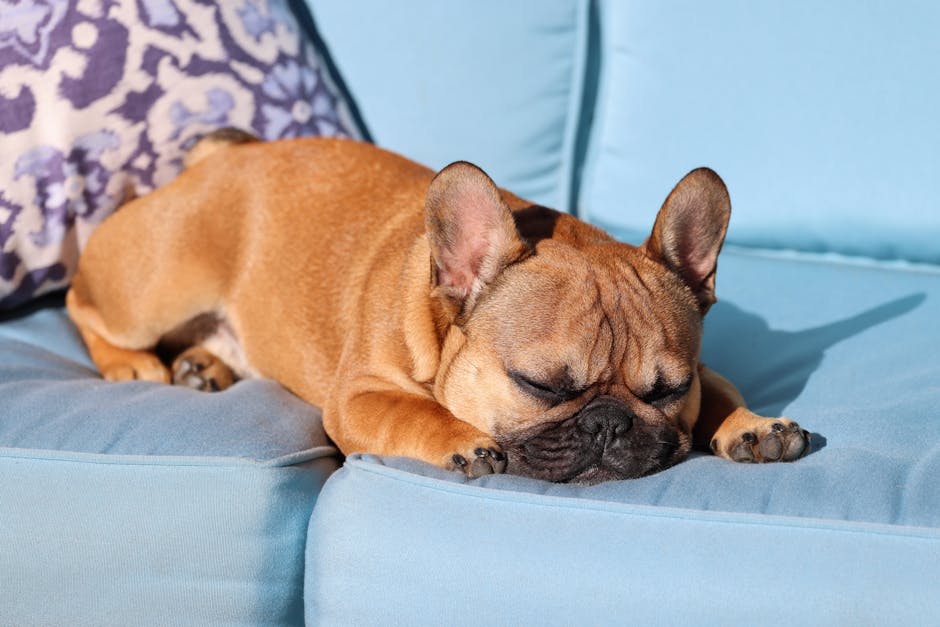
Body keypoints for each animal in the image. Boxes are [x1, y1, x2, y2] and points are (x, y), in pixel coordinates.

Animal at [70, 135, 812, 484]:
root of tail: (223, 156)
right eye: (540, 385)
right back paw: (134, 365)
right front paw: (463, 440)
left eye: (667, 391)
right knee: (84, 301)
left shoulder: (702, 370)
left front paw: (754, 425)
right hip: (155, 282)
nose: (609, 424)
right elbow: (413, 412)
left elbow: (725, 390)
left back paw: (204, 365)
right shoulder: (358, 397)